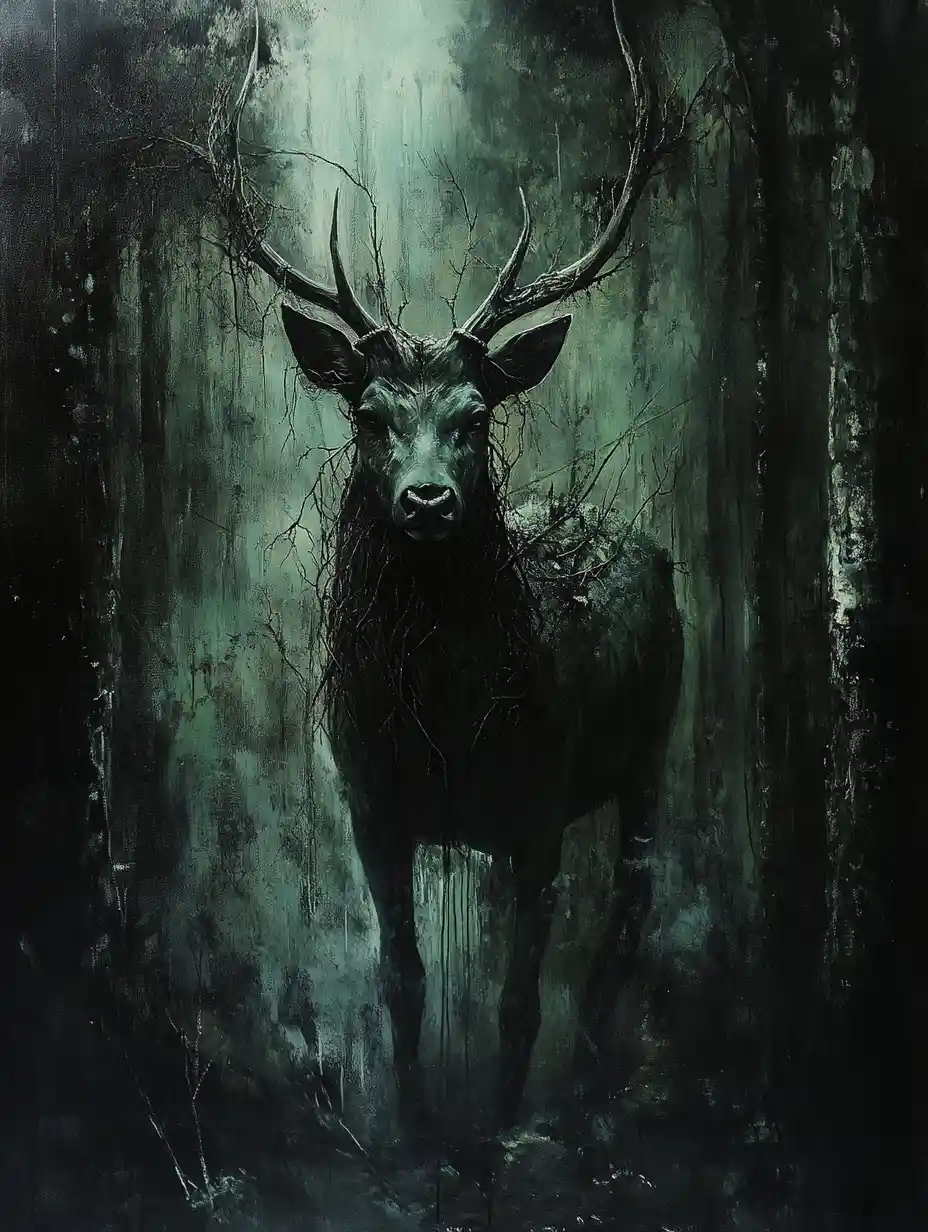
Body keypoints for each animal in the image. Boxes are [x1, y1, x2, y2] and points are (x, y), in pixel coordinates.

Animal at [184, 3, 688, 1145]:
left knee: (630, 905)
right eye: (370, 412)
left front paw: (495, 1139)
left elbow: (516, 999)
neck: (448, 723)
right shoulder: (371, 801)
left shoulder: (539, 807)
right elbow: (403, 980)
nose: (425, 501)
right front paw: (414, 1134)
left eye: (475, 413)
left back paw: (588, 1086)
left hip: (650, 746)